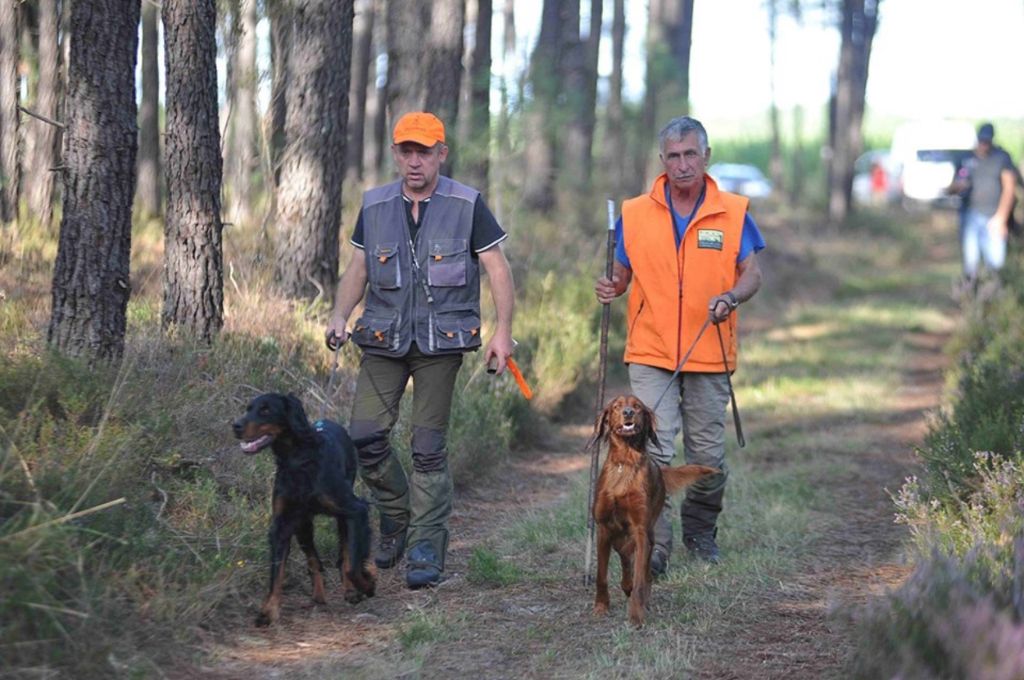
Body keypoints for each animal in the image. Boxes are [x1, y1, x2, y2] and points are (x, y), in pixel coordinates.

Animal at [232, 393, 376, 626]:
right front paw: (269, 610)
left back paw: (350, 591)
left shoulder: (356, 510)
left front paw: (367, 586)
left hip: (342, 517)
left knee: (345, 553)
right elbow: (277, 571)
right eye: (248, 408)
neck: (298, 459)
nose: (235, 426)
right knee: (314, 560)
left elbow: (352, 565)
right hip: (303, 524)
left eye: (266, 409)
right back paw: (318, 595)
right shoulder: (282, 525)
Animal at [593, 393, 720, 626]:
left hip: (646, 534)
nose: (627, 413)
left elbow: (640, 579)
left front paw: (636, 615)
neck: (625, 461)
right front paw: (601, 606)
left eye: (637, 407)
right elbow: (601, 575)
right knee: (625, 558)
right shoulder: (603, 528)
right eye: (616, 406)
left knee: (642, 571)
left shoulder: (641, 531)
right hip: (619, 536)